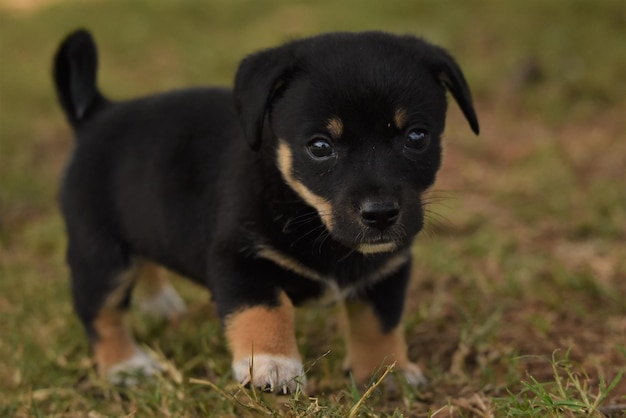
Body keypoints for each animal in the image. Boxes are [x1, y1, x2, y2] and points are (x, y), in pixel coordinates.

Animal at [53, 29, 478, 392]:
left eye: (417, 136)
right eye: (320, 146)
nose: (380, 214)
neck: (308, 213)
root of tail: (96, 114)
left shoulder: (387, 269)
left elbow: (379, 323)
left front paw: (386, 371)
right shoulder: (240, 259)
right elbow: (265, 311)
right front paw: (273, 367)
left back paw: (158, 304)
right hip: (101, 253)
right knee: (101, 313)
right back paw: (126, 366)